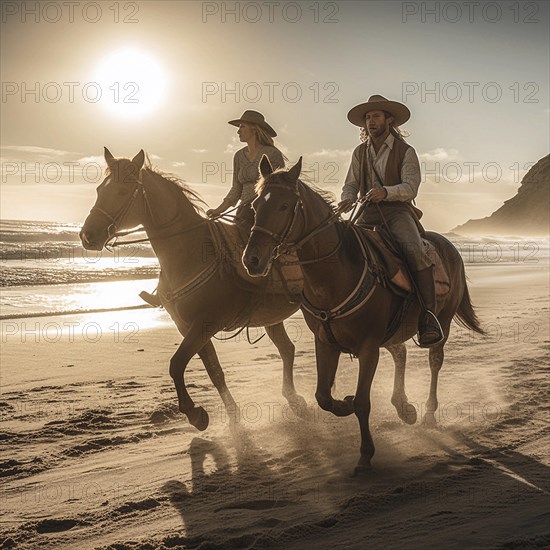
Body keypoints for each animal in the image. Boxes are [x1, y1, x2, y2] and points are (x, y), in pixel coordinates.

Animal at [80, 150, 308, 432]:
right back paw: (295, 400)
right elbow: (214, 371)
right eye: (100, 189)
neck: (189, 252)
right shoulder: (187, 325)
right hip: (272, 318)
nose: (87, 235)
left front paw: (194, 414)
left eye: (122, 191)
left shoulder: (206, 323)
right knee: (287, 349)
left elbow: (176, 364)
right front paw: (233, 418)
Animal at [244, 157, 486, 476]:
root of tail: (449, 247)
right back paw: (404, 407)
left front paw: (366, 454)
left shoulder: (369, 346)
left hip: (441, 321)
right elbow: (323, 397)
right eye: (255, 205)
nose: (252, 259)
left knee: (434, 360)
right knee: (400, 353)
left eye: (284, 206)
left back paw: (429, 413)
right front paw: (343, 403)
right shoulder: (325, 342)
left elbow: (362, 402)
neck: (337, 273)